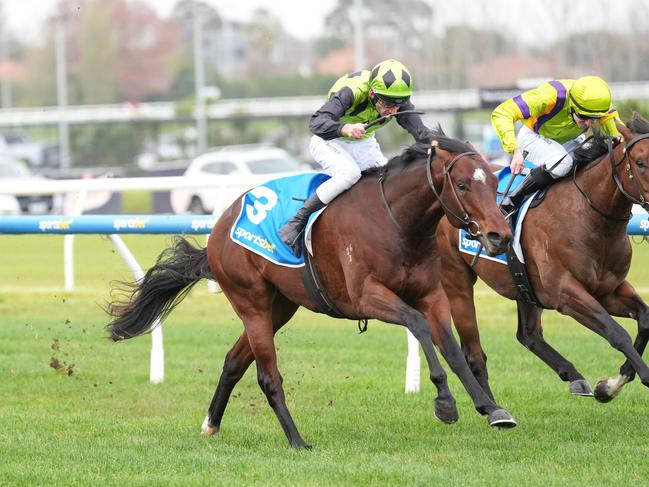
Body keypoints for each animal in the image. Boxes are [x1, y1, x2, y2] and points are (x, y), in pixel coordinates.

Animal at [106, 131, 512, 450]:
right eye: (463, 185)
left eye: (495, 183)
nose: (500, 235)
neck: (396, 222)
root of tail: (219, 229)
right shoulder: (366, 296)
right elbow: (418, 325)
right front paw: (445, 403)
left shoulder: (432, 294)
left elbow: (453, 349)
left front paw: (492, 408)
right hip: (250, 301)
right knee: (267, 375)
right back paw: (297, 440)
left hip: (280, 307)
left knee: (235, 360)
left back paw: (211, 424)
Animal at [436, 113, 648, 404]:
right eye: (640, 162)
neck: (589, 217)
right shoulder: (566, 294)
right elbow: (617, 333)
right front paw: (622, 383)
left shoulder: (609, 290)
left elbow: (645, 318)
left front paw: (609, 386)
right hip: (456, 277)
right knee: (473, 352)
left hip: (523, 284)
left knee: (529, 335)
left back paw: (574, 376)